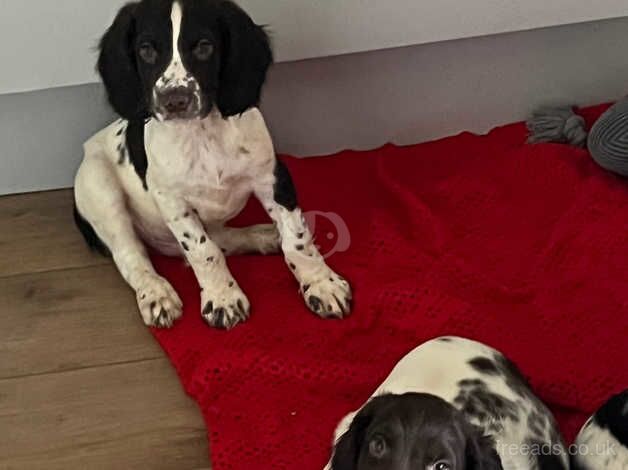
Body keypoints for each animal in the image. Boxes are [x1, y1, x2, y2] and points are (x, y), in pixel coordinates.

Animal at [72, 0, 354, 328]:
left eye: (204, 47)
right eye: (146, 50)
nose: (175, 100)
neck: (202, 133)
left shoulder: (271, 177)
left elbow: (296, 240)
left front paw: (321, 283)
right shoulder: (172, 201)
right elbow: (202, 251)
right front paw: (223, 298)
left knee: (222, 237)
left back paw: (262, 236)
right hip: (100, 187)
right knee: (133, 257)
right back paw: (156, 294)